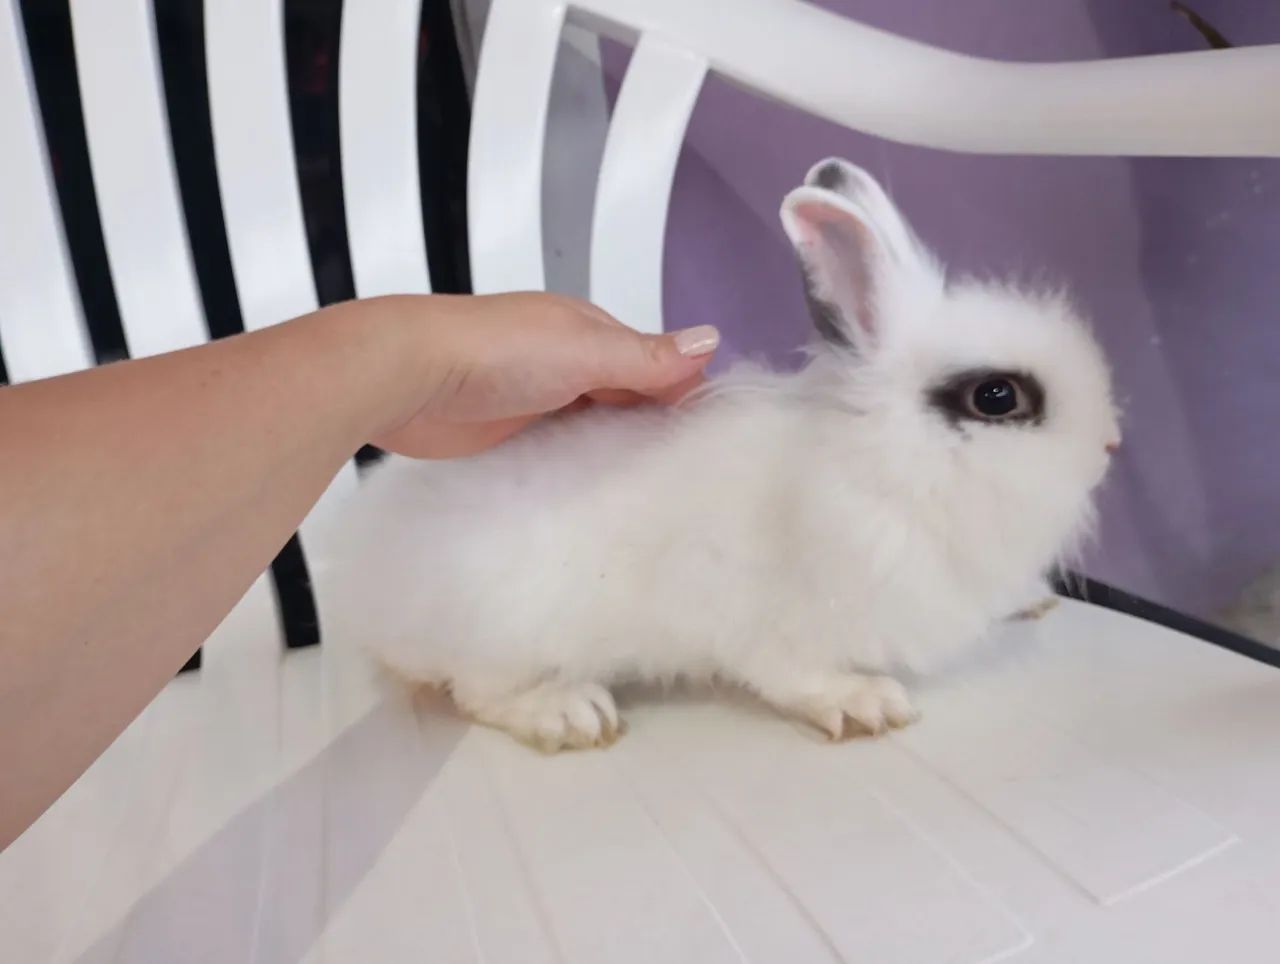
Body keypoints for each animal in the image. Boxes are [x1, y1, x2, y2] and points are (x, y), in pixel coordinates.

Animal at [318, 158, 1121, 752]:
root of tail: (359, 569)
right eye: (996, 397)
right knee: (480, 694)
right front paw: (867, 704)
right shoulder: (779, 623)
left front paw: (1031, 599)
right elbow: (795, 677)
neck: (880, 465)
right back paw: (571, 714)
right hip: (502, 630)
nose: (1111, 442)